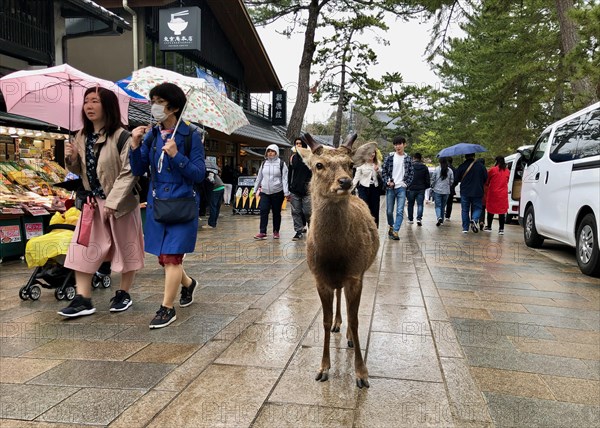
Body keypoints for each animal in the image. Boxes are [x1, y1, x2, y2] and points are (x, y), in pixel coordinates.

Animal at [298, 133, 380, 388]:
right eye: (318, 165)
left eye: (351, 165)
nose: (345, 182)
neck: (334, 256)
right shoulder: (319, 278)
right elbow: (323, 322)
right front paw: (323, 369)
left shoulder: (355, 275)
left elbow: (355, 320)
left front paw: (361, 374)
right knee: (337, 294)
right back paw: (337, 324)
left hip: (360, 271)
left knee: (345, 300)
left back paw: (348, 337)